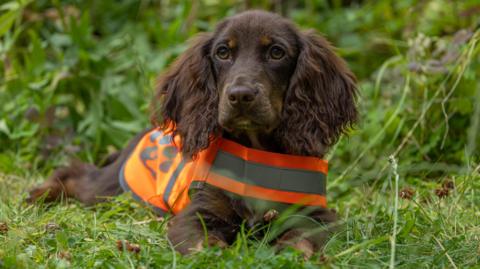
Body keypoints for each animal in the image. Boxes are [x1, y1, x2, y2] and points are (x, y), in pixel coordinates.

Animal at [26, 10, 356, 258]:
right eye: (223, 52)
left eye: (277, 52)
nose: (240, 96)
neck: (255, 151)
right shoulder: (198, 212)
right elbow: (203, 244)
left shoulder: (317, 215)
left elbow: (303, 237)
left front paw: (291, 252)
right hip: (110, 190)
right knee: (74, 174)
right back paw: (38, 195)